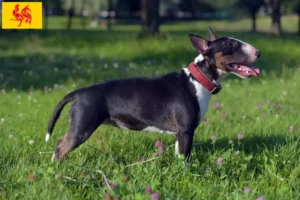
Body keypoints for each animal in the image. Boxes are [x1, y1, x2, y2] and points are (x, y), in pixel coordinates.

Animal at [45, 27, 260, 162]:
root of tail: (81, 91)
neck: (197, 79)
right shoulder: (186, 131)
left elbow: (178, 154)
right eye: (231, 45)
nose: (258, 52)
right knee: (60, 147)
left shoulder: (179, 133)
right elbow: (186, 157)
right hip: (82, 127)